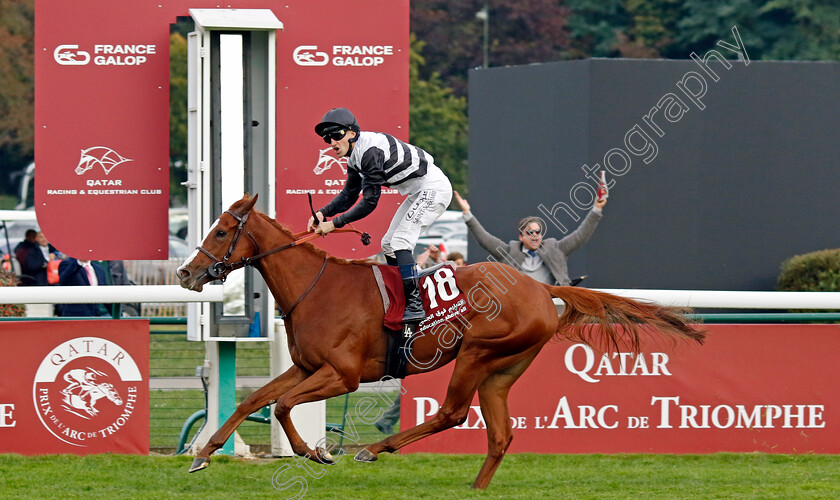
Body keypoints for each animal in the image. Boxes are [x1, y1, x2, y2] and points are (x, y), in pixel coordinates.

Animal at [179, 194, 708, 488]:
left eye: (221, 230)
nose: (185, 273)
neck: (317, 287)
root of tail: (542, 288)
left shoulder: (342, 376)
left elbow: (285, 406)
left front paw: (315, 452)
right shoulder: (307, 367)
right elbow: (256, 401)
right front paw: (204, 454)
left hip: (477, 352)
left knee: (453, 412)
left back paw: (376, 448)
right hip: (502, 370)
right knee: (500, 434)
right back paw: (474, 488)